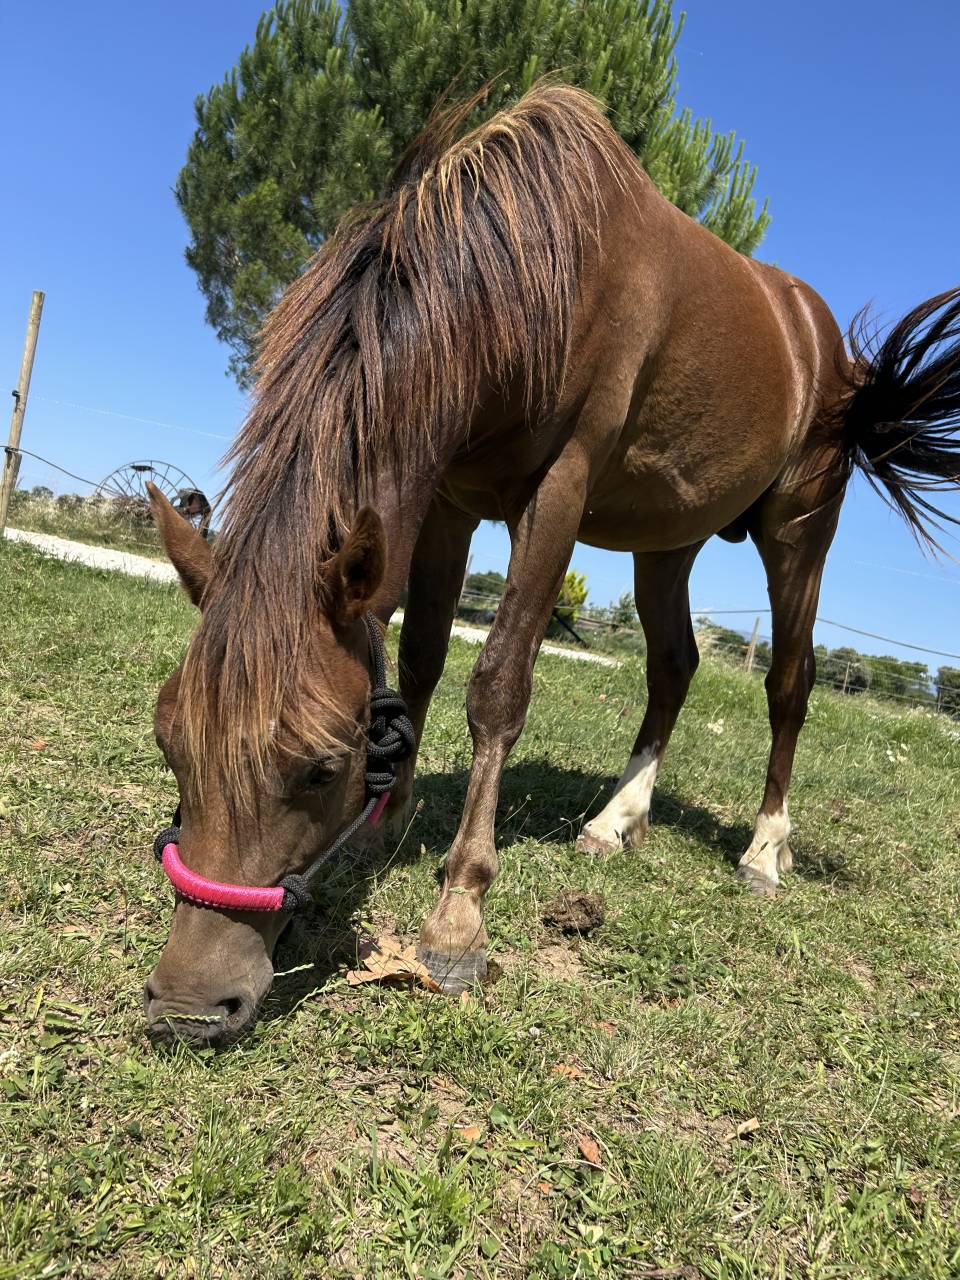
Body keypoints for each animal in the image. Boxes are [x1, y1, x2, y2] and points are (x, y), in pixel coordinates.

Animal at [143, 82, 960, 1047]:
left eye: (320, 767)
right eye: (170, 742)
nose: (189, 1006)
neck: (529, 270)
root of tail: (828, 344)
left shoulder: (556, 495)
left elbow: (498, 685)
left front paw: (457, 916)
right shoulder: (446, 499)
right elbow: (419, 660)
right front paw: (387, 828)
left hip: (799, 534)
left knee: (788, 686)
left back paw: (765, 850)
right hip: (668, 543)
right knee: (673, 666)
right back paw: (618, 820)